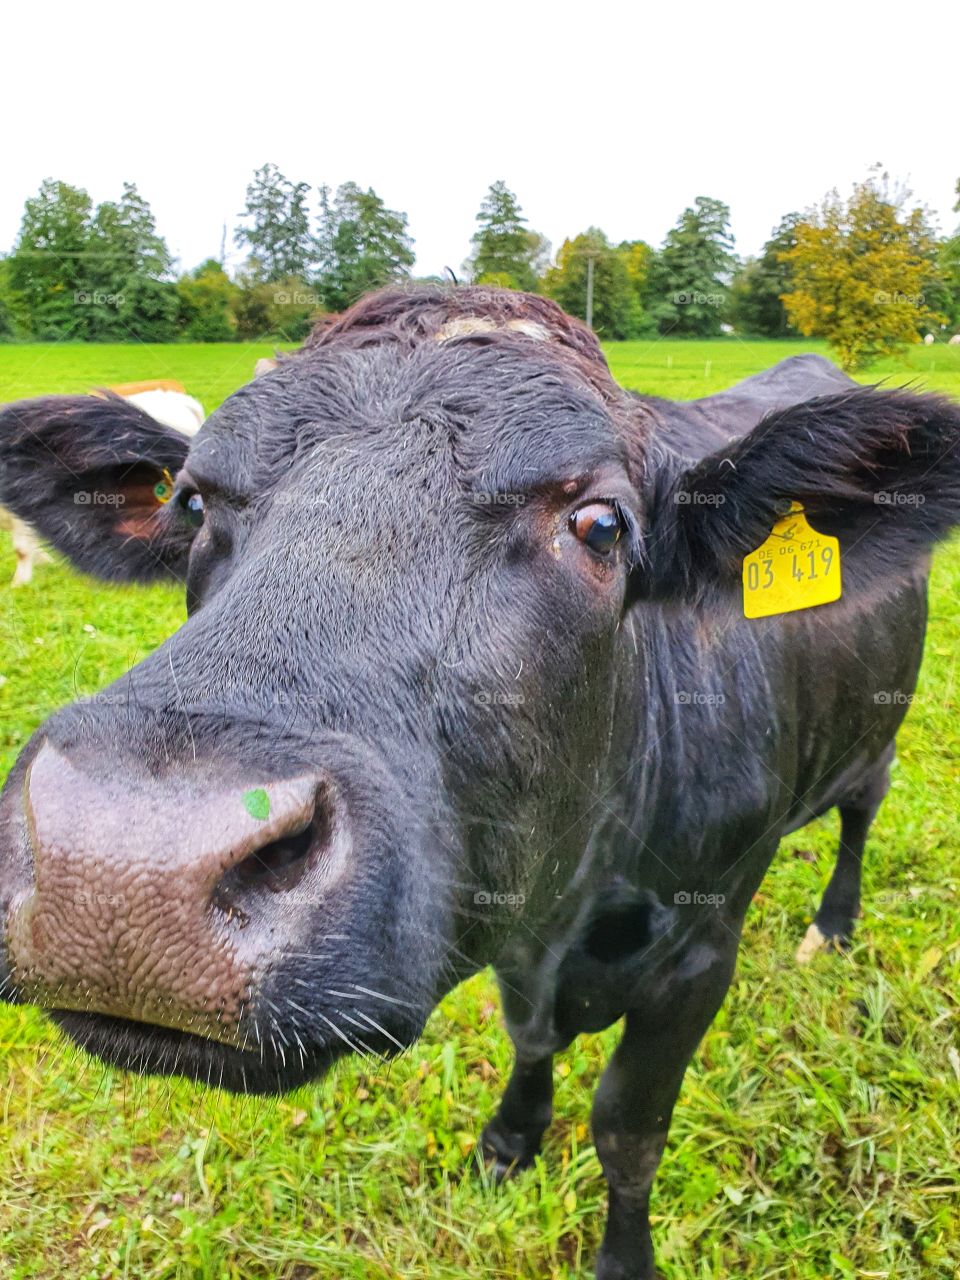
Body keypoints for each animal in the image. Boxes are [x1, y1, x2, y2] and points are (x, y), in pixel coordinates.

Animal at [1, 286, 959, 1280]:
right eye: (191, 502)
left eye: (601, 524)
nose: (123, 856)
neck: (577, 893)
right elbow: (531, 1039)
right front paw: (510, 1138)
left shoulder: (701, 951)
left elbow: (629, 1132)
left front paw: (624, 1256)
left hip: (876, 733)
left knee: (861, 809)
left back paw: (833, 927)